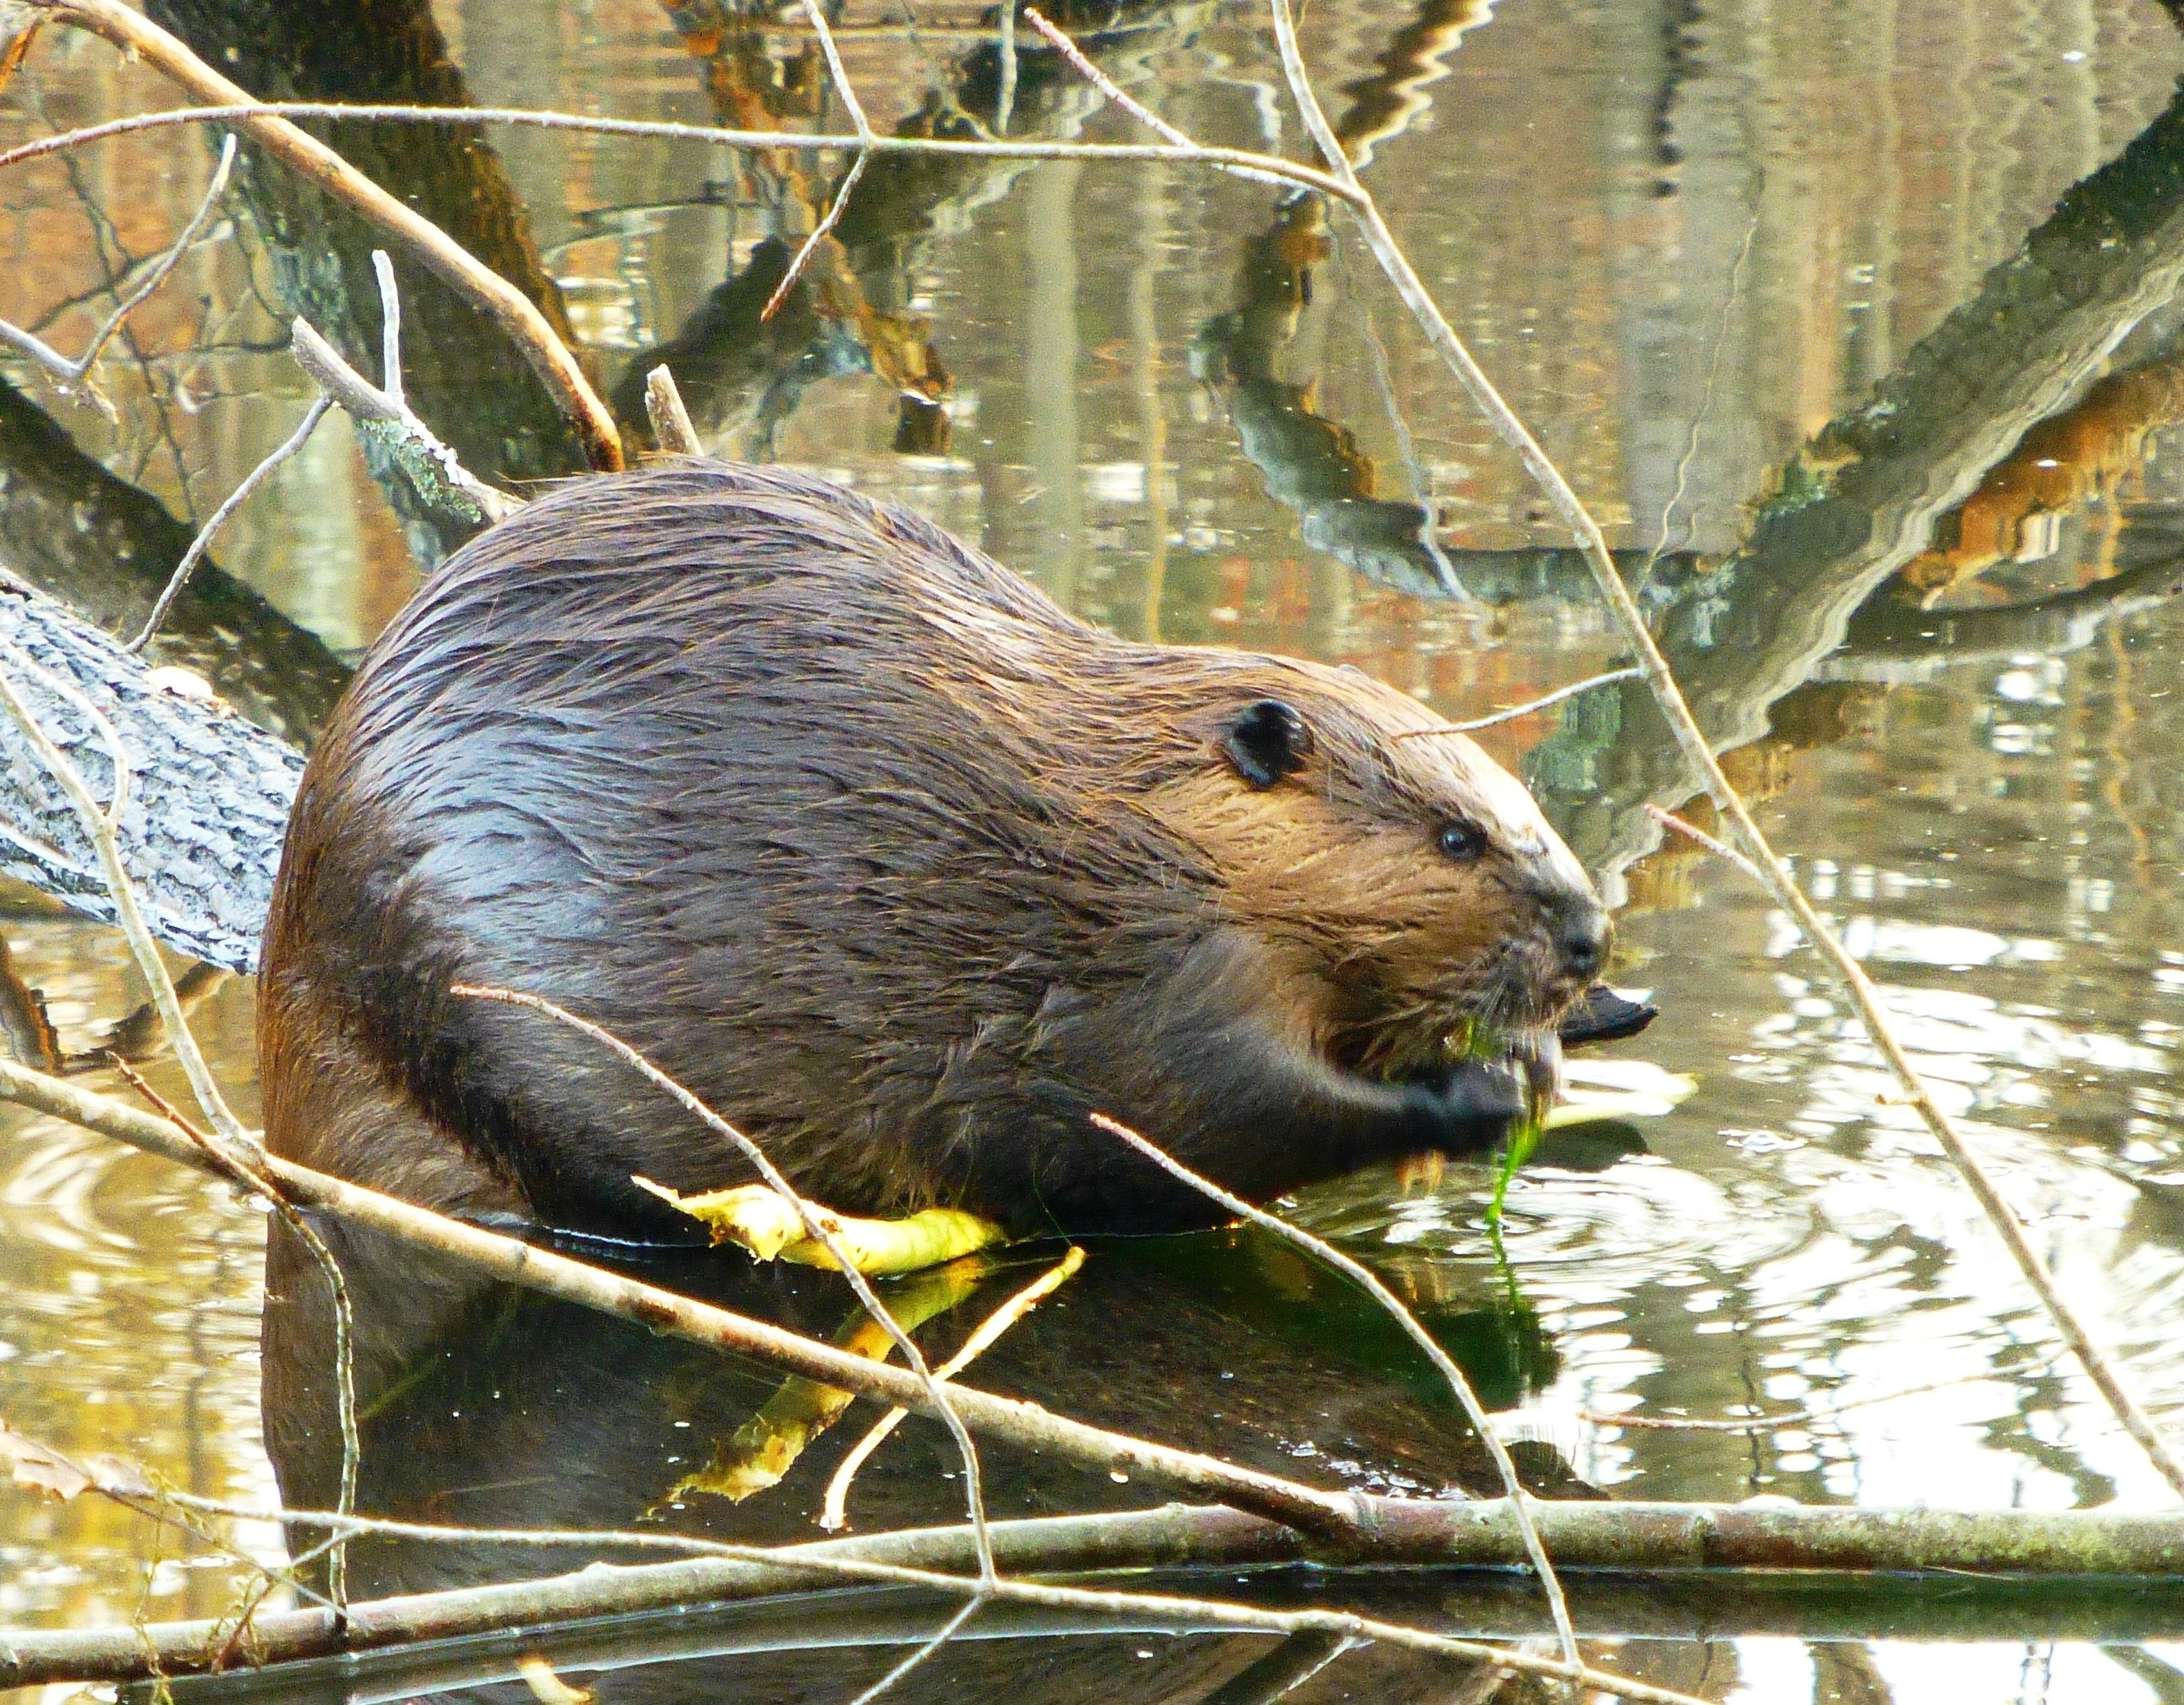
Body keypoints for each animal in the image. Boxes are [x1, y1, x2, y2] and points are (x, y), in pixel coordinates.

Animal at [260, 463, 1625, 1239]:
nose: (1586, 937)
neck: (1132, 819)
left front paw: (1558, 1046)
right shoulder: (1152, 969)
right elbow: (1214, 1109)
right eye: (1454, 833)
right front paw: (1483, 1088)